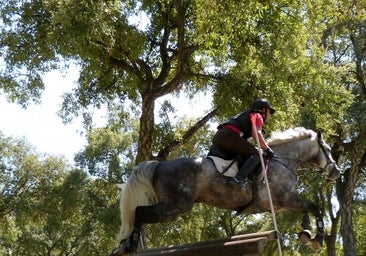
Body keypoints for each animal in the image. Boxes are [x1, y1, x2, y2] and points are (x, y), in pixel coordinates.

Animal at [111, 127, 340, 255]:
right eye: (328, 150)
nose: (336, 171)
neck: (282, 160)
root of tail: (158, 164)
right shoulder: (286, 197)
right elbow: (314, 205)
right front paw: (317, 239)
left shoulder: (280, 204)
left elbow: (307, 208)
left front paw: (306, 232)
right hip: (176, 206)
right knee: (139, 212)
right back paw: (129, 245)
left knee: (139, 214)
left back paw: (122, 247)